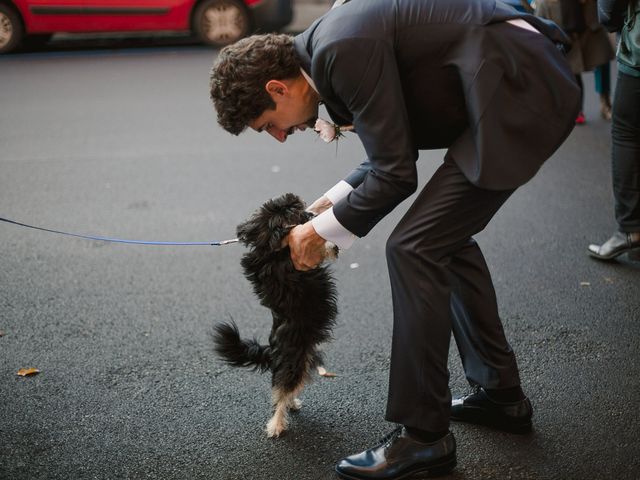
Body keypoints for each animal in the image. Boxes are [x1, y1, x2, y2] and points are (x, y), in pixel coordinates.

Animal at [212, 193, 338, 436]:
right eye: (290, 211)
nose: (310, 212)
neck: (269, 249)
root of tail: (271, 350)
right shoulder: (294, 261)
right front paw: (329, 243)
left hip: (304, 359)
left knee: (285, 389)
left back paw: (291, 404)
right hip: (293, 362)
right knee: (281, 391)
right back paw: (276, 424)